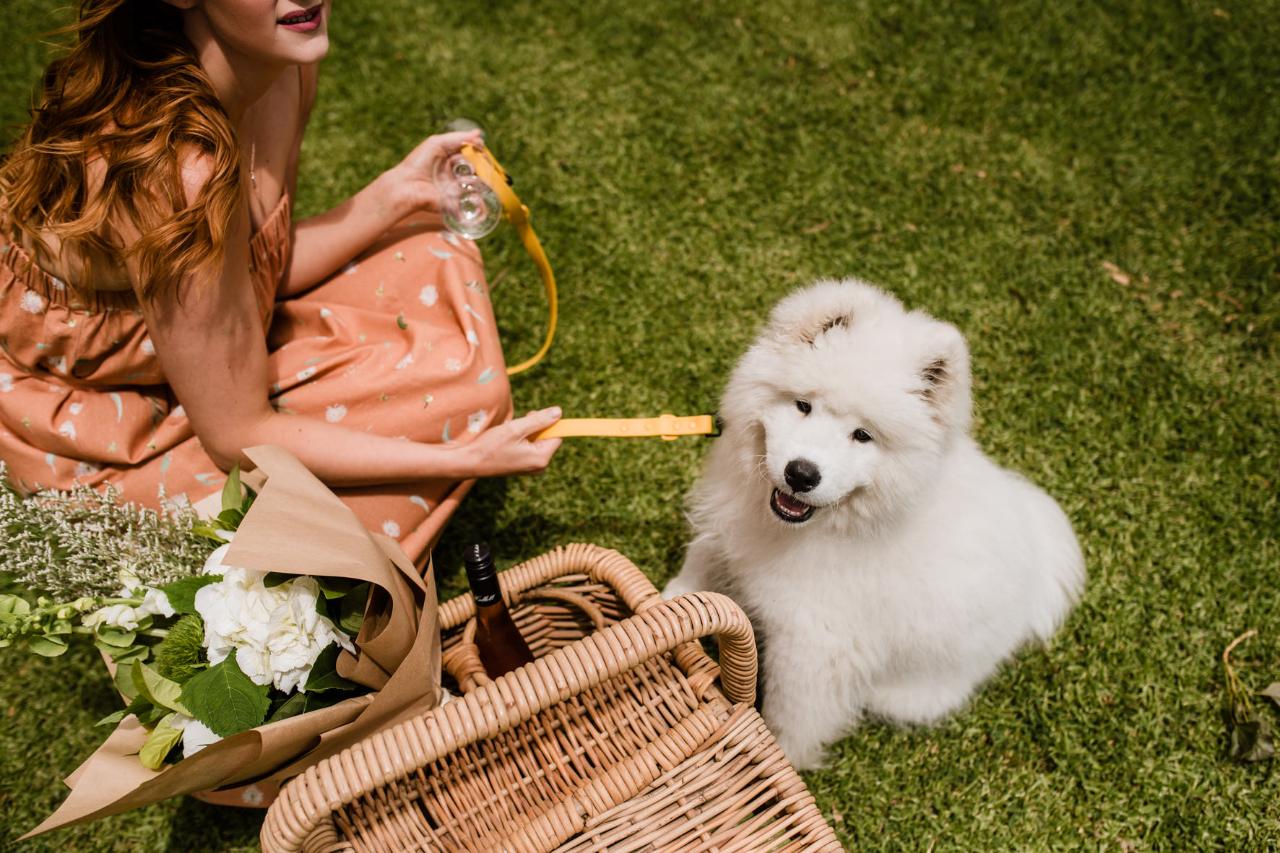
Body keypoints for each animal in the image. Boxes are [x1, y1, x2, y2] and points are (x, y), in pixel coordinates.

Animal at [665, 277, 1085, 763]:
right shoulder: (729, 522)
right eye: (803, 406)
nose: (801, 473)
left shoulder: (815, 646)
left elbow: (792, 714)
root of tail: (1036, 567)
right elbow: (703, 558)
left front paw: (780, 759)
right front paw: (670, 604)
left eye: (863, 435)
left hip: (909, 690)